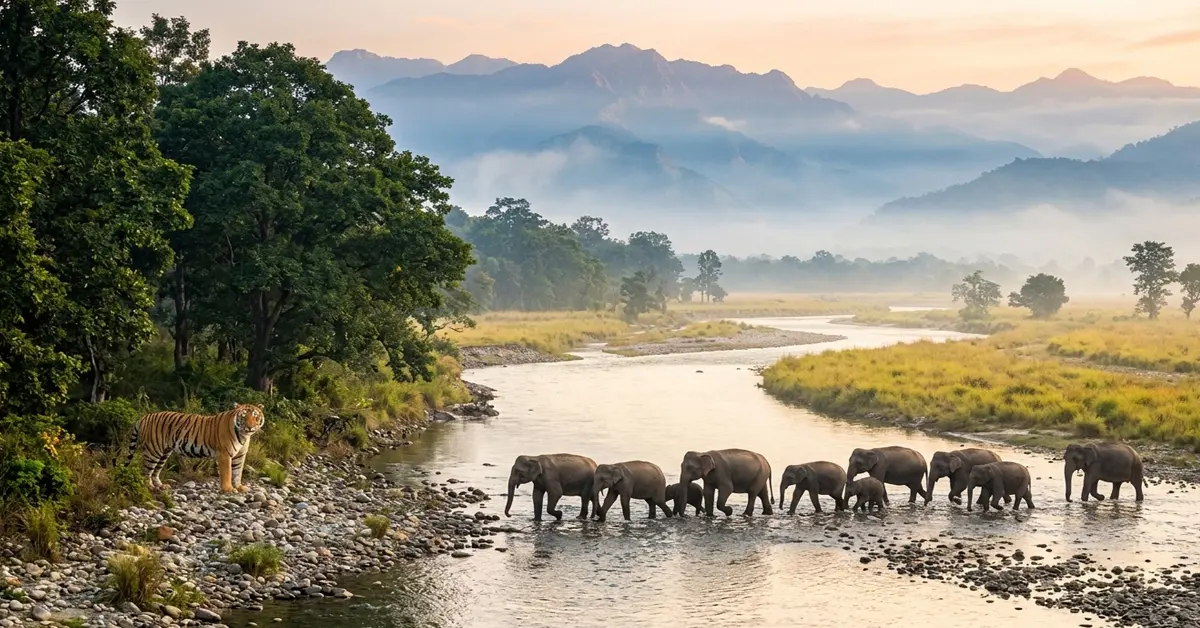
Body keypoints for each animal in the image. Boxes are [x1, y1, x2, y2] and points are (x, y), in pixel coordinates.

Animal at [129, 403, 266, 493]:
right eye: (243, 416)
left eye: (255, 416)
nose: (250, 427)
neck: (244, 435)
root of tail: (144, 416)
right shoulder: (224, 454)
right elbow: (227, 472)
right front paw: (229, 489)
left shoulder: (240, 455)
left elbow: (238, 472)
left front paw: (239, 487)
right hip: (154, 450)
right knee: (146, 470)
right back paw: (149, 486)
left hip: (164, 453)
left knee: (156, 470)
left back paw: (161, 486)